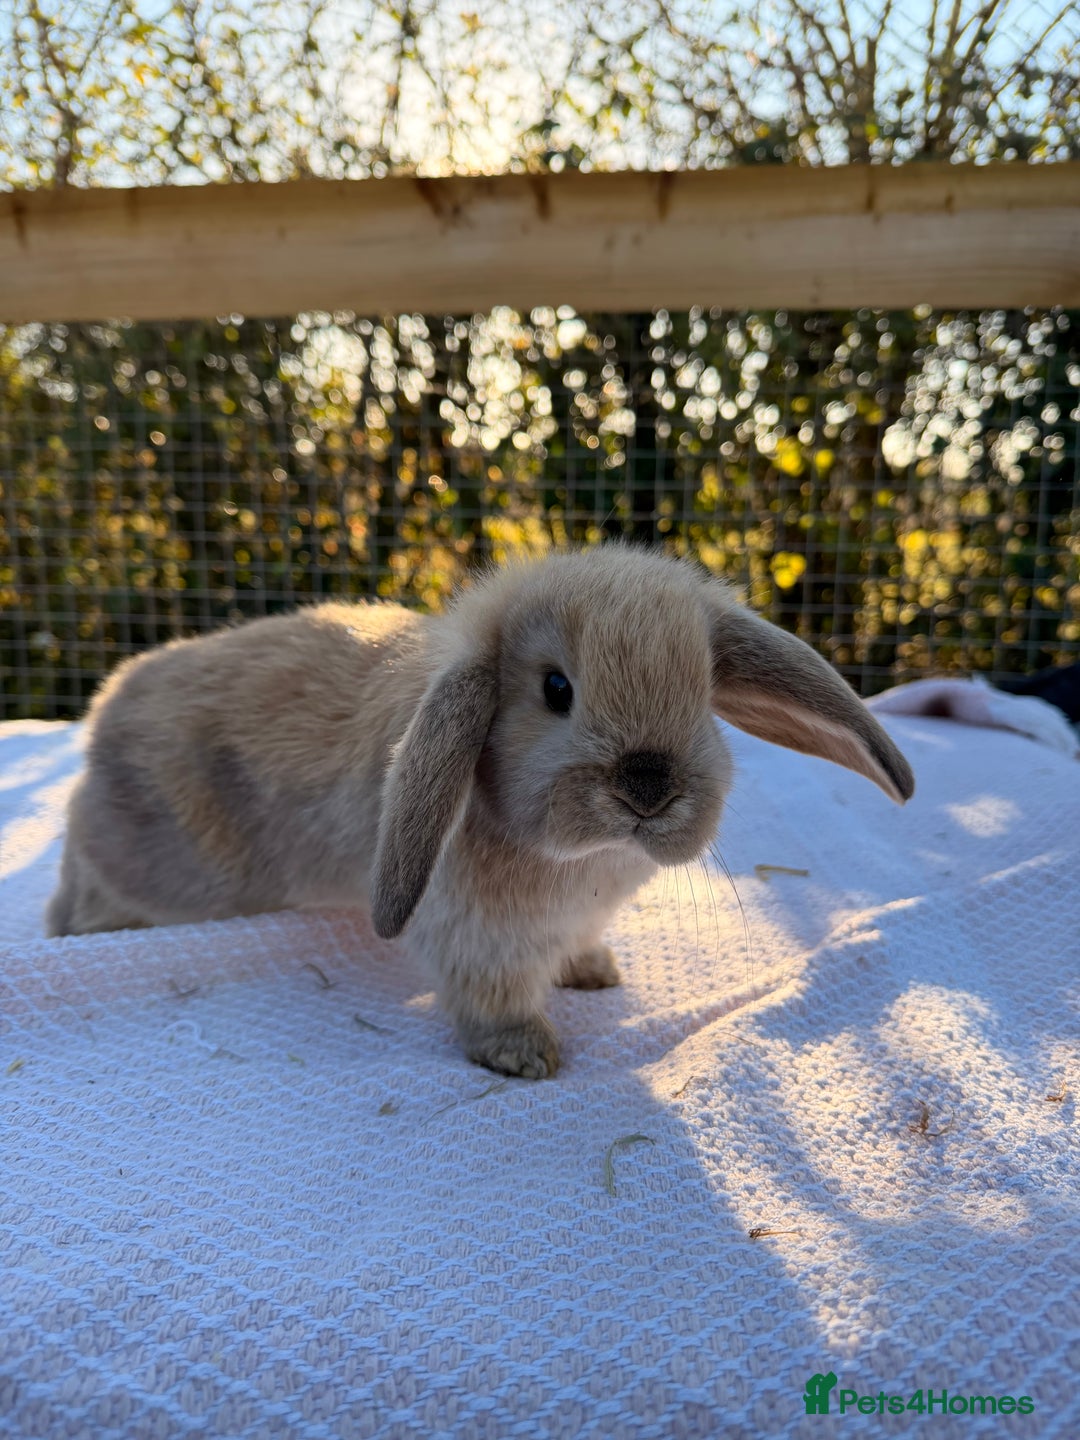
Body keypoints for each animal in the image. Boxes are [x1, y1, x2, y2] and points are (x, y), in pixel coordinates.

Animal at [46, 545, 914, 1077]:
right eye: (556, 689)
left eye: (702, 695)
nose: (648, 786)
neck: (584, 863)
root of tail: (104, 712)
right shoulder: (475, 937)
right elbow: (491, 999)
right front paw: (526, 1056)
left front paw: (594, 974)